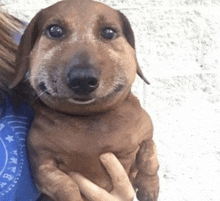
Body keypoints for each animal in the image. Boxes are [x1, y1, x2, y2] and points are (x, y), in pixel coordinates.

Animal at [9, 0, 158, 200]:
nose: (83, 79)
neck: (88, 118)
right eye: (54, 30)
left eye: (109, 32)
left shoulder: (146, 134)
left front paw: (149, 187)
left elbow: (150, 158)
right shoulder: (42, 163)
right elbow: (65, 186)